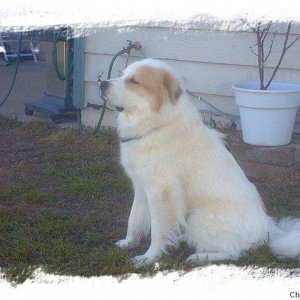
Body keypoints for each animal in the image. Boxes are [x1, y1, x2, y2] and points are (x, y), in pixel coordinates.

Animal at [100, 58, 300, 264]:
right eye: (122, 75)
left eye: (134, 81)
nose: (101, 83)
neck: (155, 125)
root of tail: (268, 226)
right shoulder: (141, 187)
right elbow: (134, 220)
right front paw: (128, 243)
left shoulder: (161, 193)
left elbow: (157, 231)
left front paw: (149, 257)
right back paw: (182, 238)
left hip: (199, 216)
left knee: (234, 252)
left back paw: (198, 256)